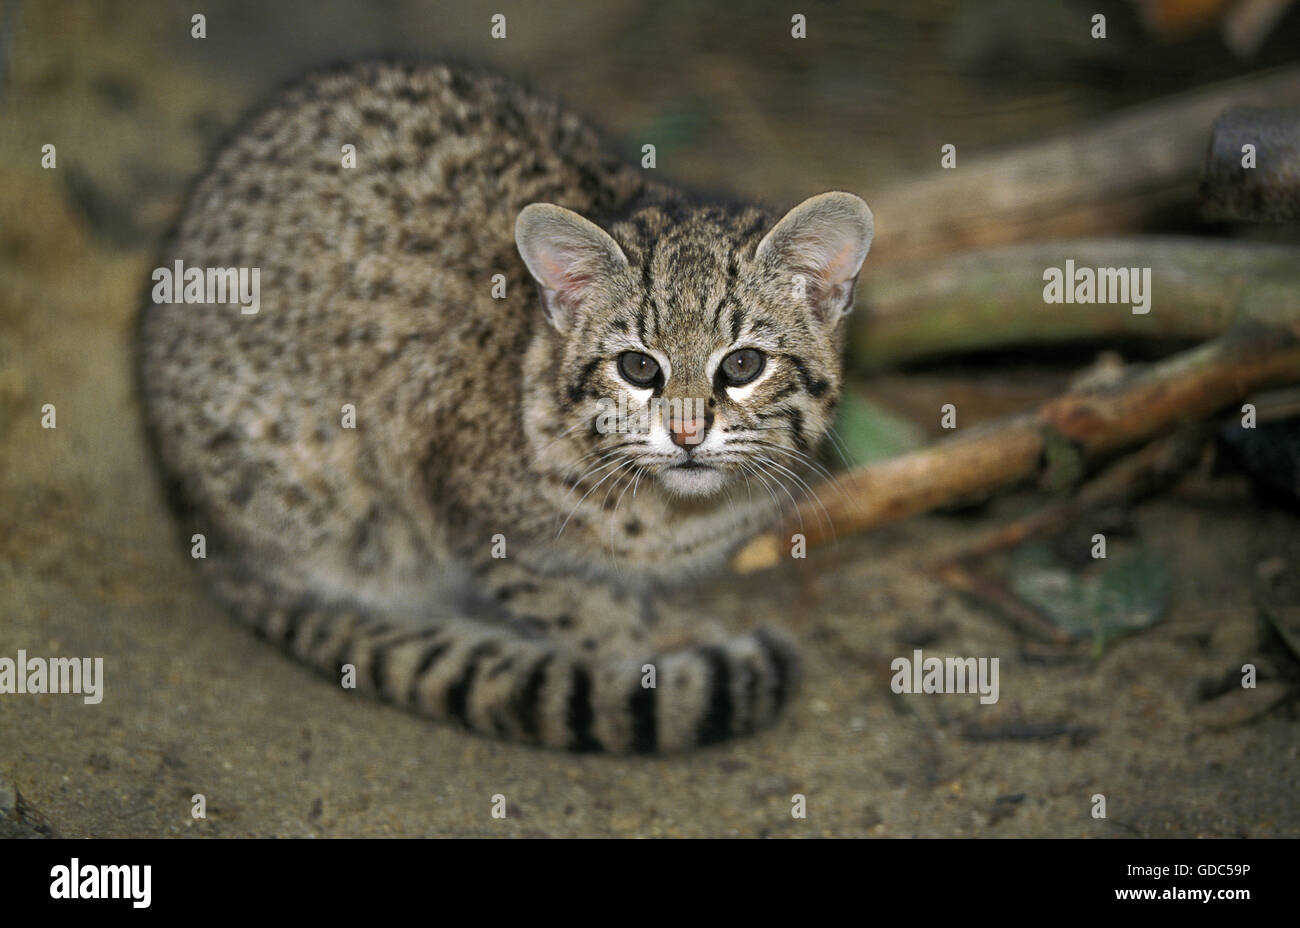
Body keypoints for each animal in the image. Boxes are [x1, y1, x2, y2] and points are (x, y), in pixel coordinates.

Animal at [137, 59, 873, 753]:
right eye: (638, 367)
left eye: (743, 365)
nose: (688, 433)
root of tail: (196, 524)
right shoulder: (475, 521)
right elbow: (582, 610)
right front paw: (648, 645)